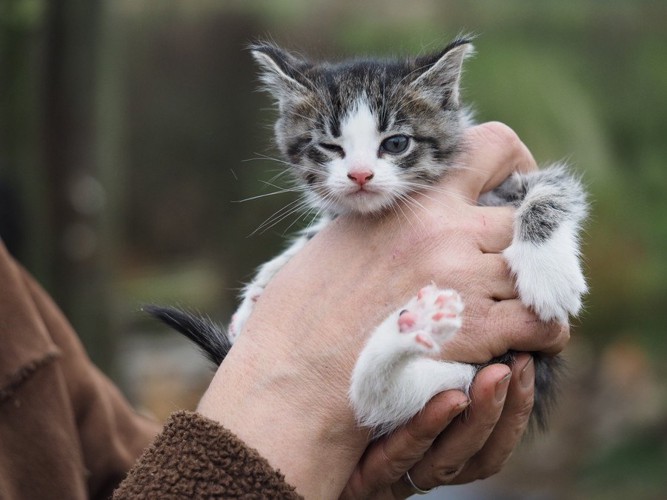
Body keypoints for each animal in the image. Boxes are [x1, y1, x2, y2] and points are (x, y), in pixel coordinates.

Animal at [149, 37, 588, 436]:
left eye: (395, 143)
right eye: (329, 147)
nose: (360, 175)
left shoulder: (511, 182)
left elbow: (553, 190)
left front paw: (548, 274)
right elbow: (314, 232)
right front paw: (258, 291)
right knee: (376, 400)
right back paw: (409, 330)